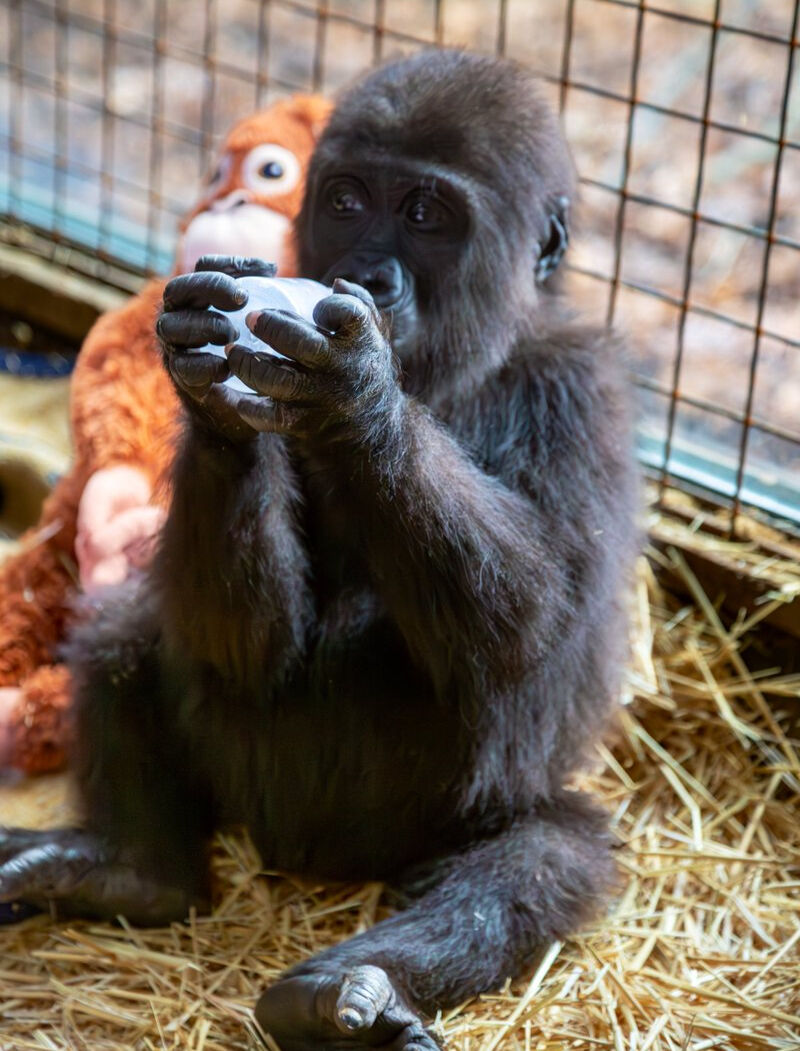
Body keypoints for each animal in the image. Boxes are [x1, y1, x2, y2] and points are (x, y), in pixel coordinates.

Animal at [0, 51, 634, 1051]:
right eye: (344, 200)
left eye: (425, 214)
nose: (366, 273)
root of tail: (304, 861)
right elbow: (241, 642)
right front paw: (211, 394)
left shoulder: (581, 391)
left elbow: (531, 631)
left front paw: (358, 395)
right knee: (127, 634)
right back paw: (130, 869)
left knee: (545, 854)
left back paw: (345, 988)